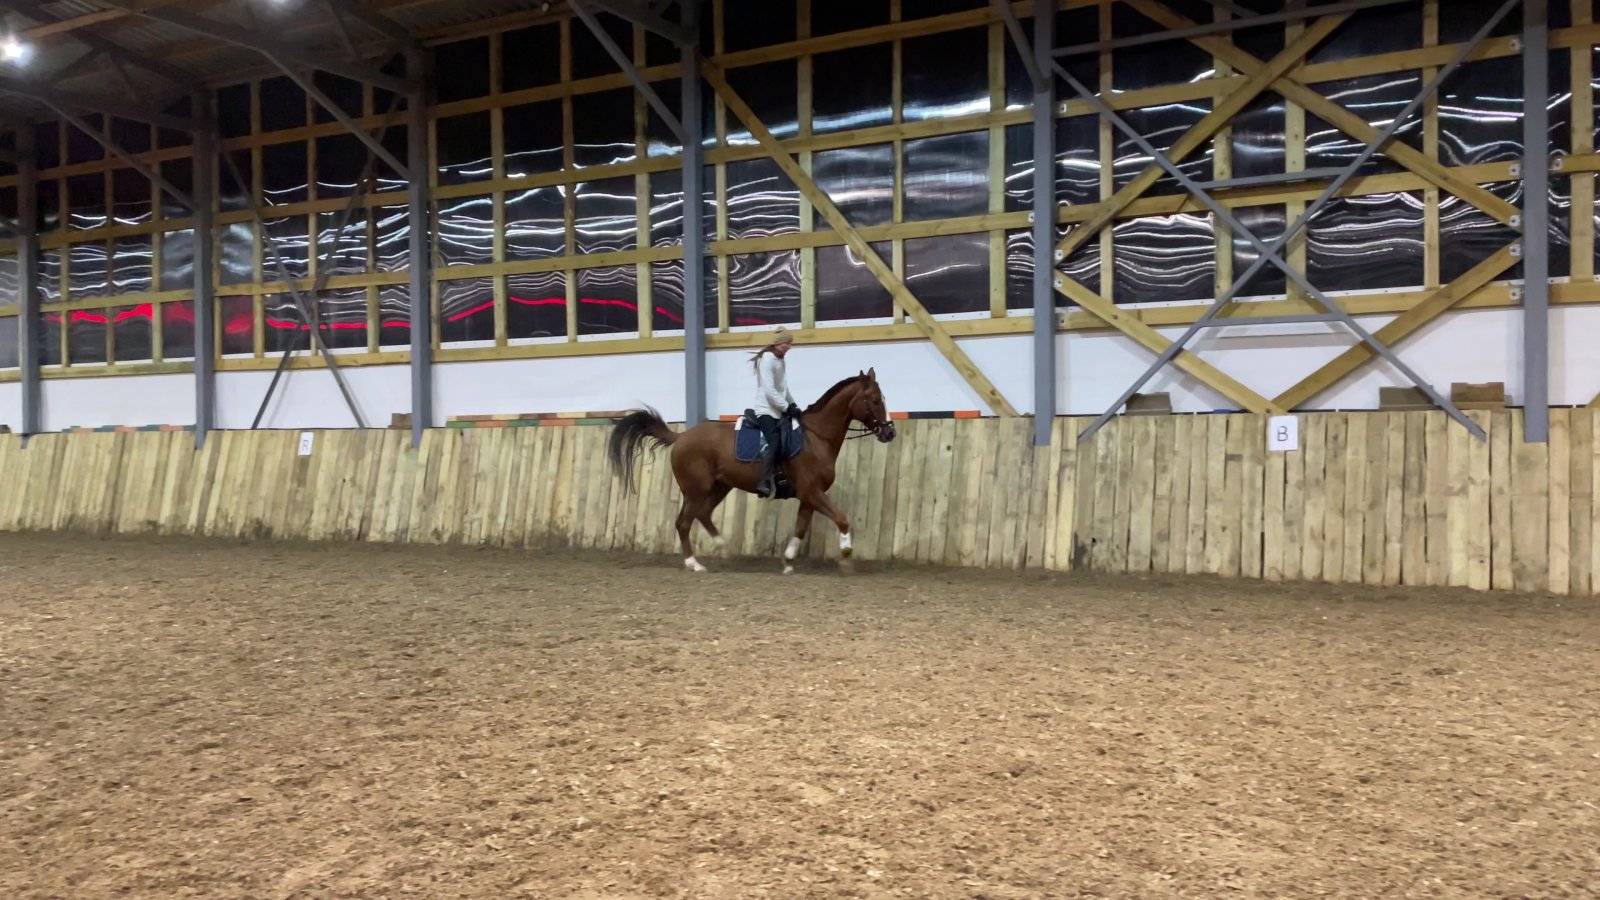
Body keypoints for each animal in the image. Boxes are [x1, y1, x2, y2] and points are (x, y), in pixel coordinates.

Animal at [607, 368, 897, 573]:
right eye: (874, 400)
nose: (890, 433)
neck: (816, 438)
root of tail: (681, 437)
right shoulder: (812, 492)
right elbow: (842, 518)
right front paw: (846, 557)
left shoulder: (808, 496)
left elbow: (801, 528)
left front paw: (788, 562)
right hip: (697, 489)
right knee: (684, 522)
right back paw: (695, 564)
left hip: (719, 486)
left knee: (701, 515)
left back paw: (722, 546)